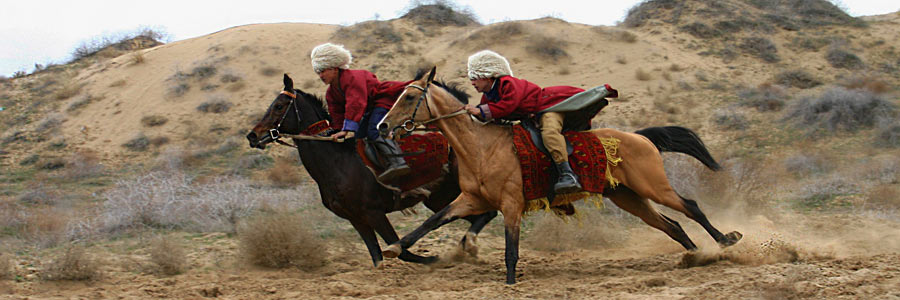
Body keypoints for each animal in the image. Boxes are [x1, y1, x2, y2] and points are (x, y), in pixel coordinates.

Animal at [248, 74, 500, 268]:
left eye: (279, 106)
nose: (253, 136)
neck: (338, 163)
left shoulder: (374, 213)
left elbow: (402, 251)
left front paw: (434, 259)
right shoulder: (356, 219)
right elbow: (377, 257)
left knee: (487, 213)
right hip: (439, 198)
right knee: (479, 215)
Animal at [376, 67, 740, 284]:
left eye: (410, 96)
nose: (382, 126)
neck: (481, 146)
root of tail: (640, 137)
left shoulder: (511, 204)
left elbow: (511, 249)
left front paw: (510, 282)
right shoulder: (470, 200)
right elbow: (432, 221)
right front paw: (393, 248)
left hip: (653, 185)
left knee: (690, 206)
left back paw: (725, 240)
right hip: (629, 197)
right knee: (671, 224)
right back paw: (695, 256)